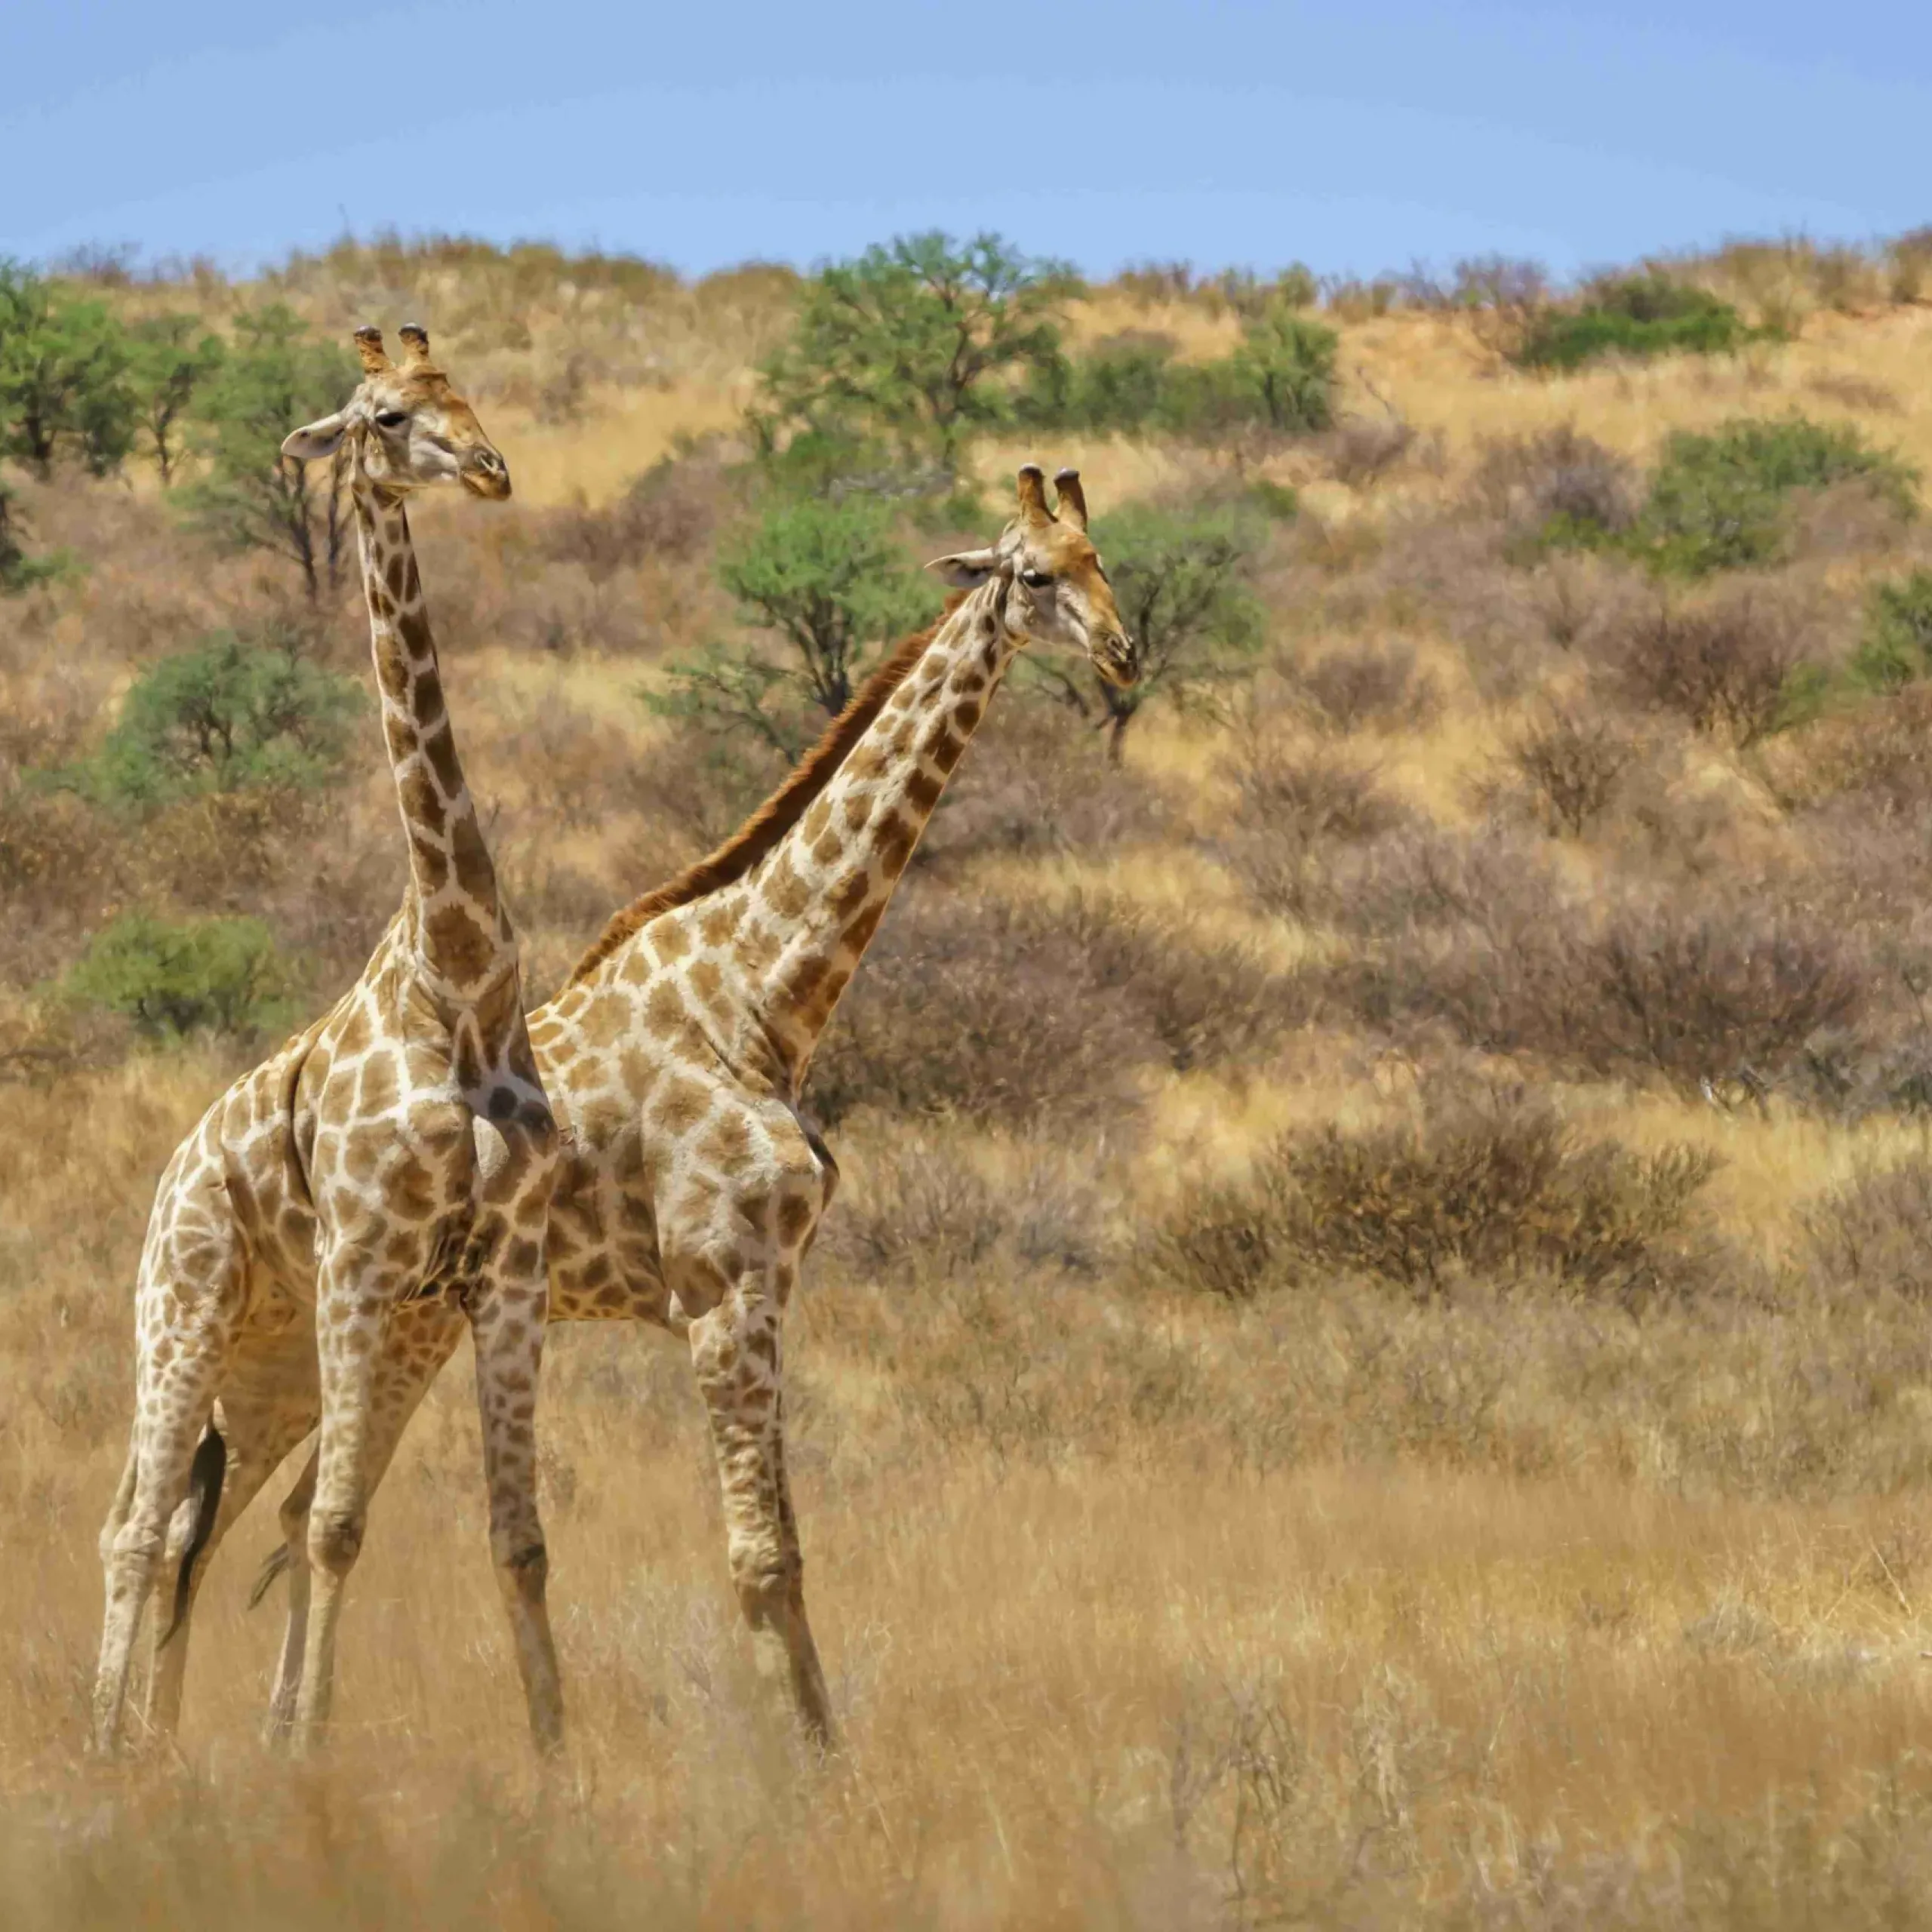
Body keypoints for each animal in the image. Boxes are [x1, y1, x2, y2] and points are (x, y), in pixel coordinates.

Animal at [90, 324, 564, 1758]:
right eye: (383, 415)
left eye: (463, 391)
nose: (491, 466)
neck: (460, 981)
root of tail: (172, 1179)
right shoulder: (365, 1258)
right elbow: (343, 1528)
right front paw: (300, 1755)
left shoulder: (503, 1273)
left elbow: (518, 1541)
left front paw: (559, 1760)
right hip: (182, 1317)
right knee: (137, 1527)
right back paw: (104, 1747)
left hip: (272, 1368)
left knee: (200, 1527)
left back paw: (155, 1743)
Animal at [251, 465, 1134, 1746]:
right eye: (1033, 574)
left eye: (1103, 559)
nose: (1124, 650)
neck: (759, 999)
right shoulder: (723, 1289)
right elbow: (758, 1561)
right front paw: (796, 1767)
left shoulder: (776, 1285)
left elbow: (793, 1553)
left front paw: (828, 1755)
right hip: (384, 1302)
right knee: (292, 1507)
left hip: (424, 1317)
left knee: (281, 1511)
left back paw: (273, 1740)